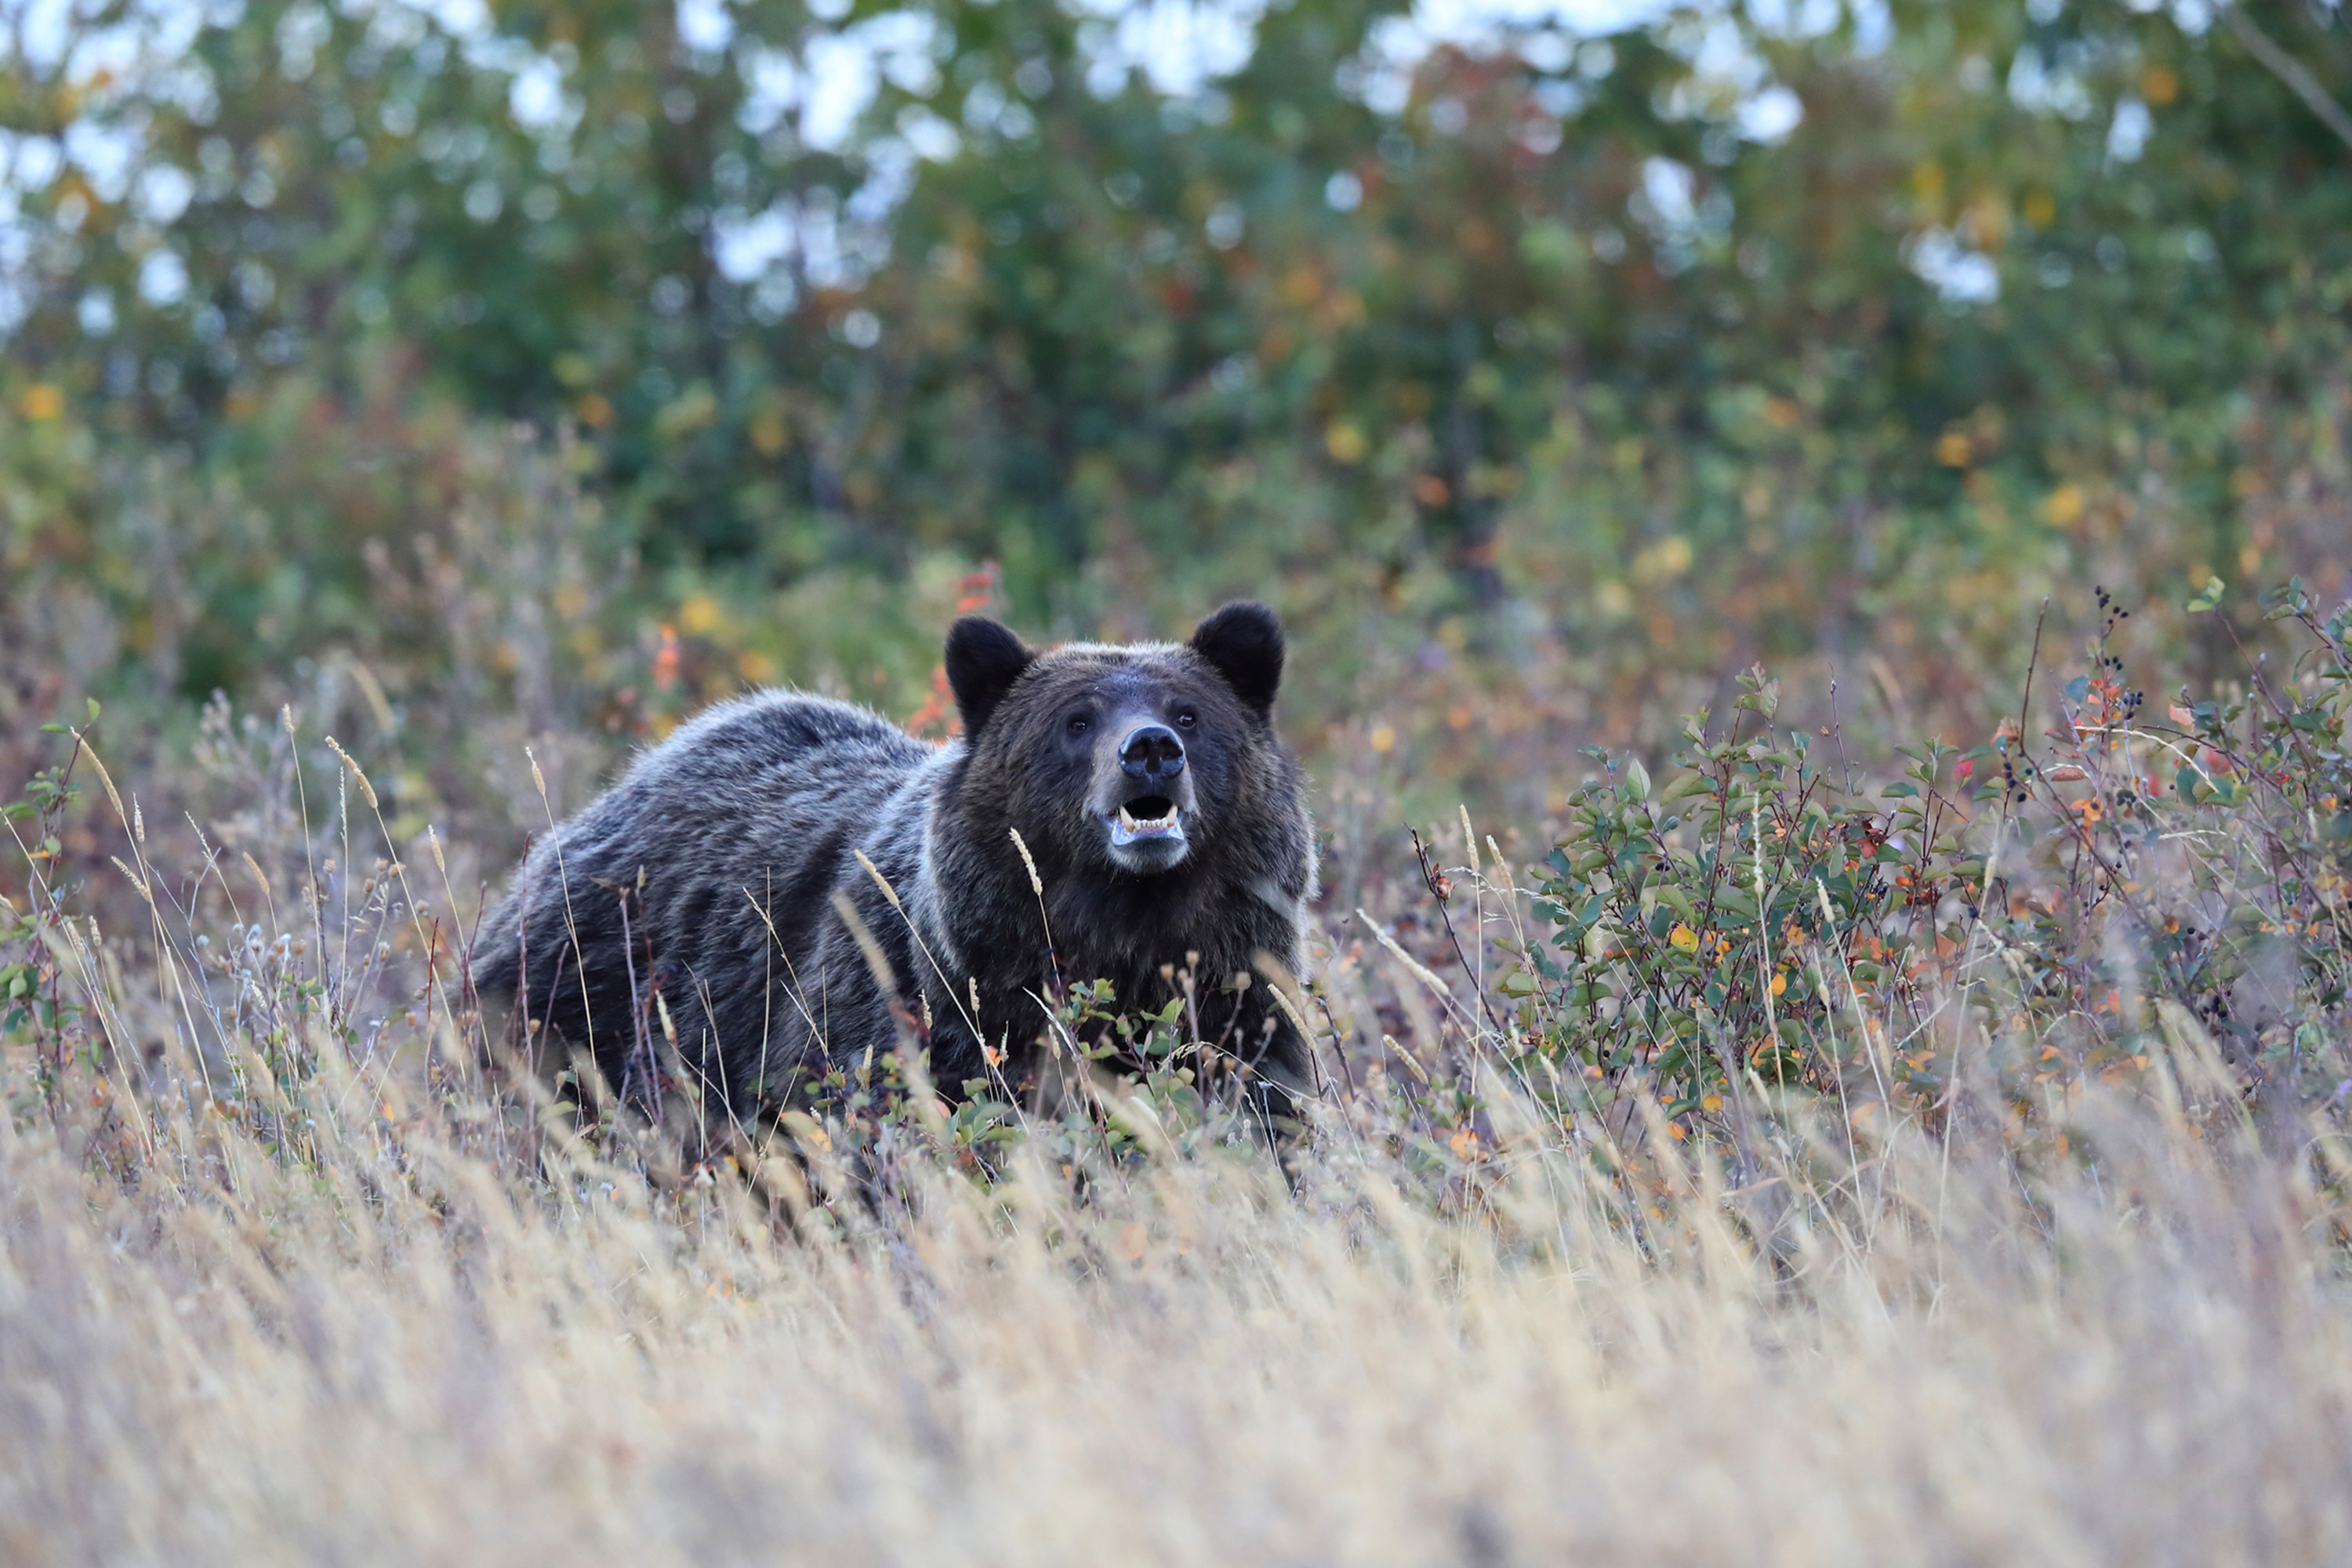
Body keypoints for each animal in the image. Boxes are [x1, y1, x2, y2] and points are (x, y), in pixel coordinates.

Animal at [473, 601, 1327, 1128]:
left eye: (1191, 712)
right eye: (1077, 720)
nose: (1150, 748)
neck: (1125, 927)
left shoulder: (1239, 999)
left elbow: (1265, 1108)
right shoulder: (931, 1011)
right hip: (586, 1001)